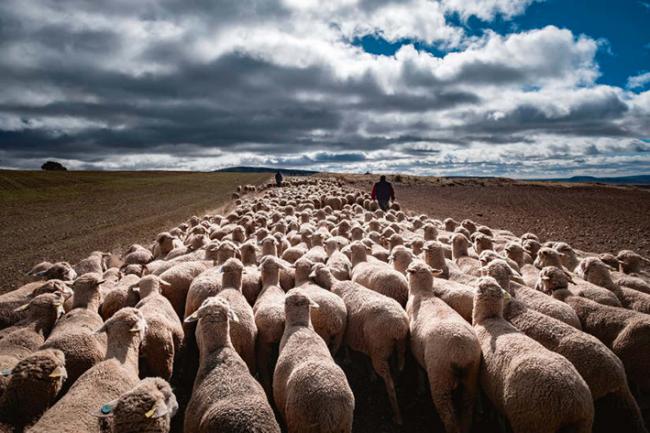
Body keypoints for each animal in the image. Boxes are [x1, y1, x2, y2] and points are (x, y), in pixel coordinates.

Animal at [308, 262, 404, 424]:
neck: (334, 284)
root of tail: (399, 327)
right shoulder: (359, 337)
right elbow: (363, 356)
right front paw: (370, 373)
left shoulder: (348, 334)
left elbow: (346, 347)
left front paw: (348, 359)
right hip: (396, 348)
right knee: (397, 368)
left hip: (379, 350)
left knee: (389, 383)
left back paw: (397, 415)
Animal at [404, 260, 480, 432]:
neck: (423, 294)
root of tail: (460, 351)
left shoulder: (414, 348)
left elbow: (418, 369)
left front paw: (420, 388)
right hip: (471, 375)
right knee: (467, 406)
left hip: (440, 375)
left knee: (448, 415)